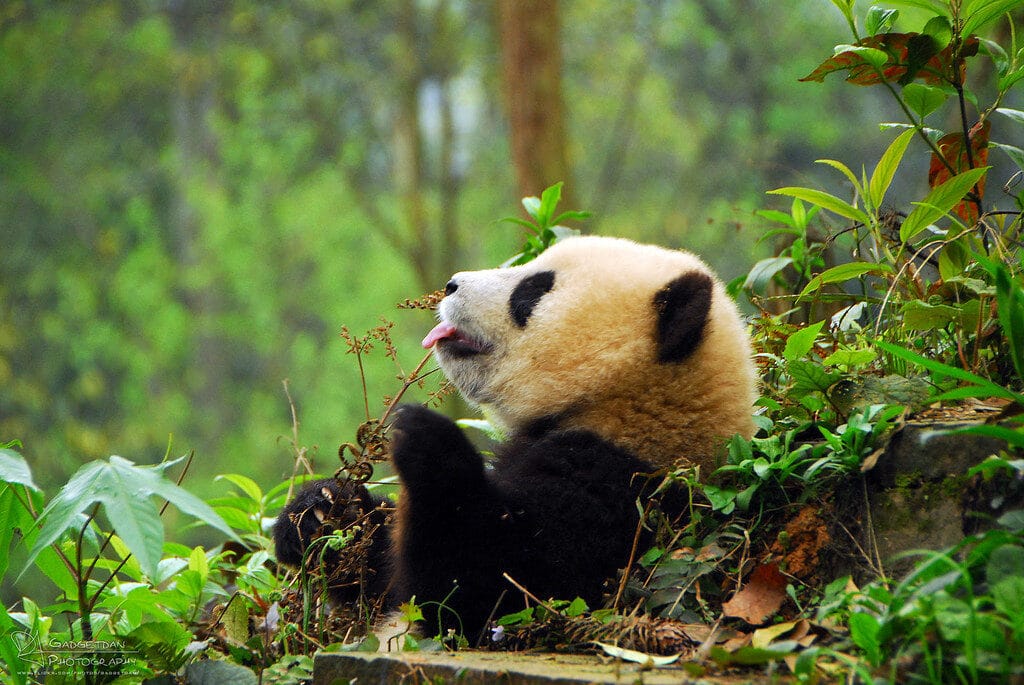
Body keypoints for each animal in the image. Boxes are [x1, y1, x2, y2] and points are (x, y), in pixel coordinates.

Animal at [274, 236, 757, 644]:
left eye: (534, 289)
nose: (450, 284)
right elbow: (386, 581)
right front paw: (321, 511)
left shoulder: (621, 490)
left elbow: (495, 590)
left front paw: (428, 443)